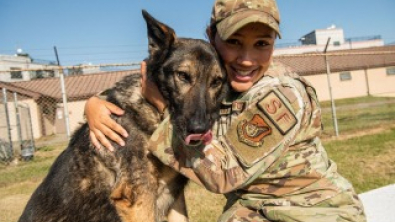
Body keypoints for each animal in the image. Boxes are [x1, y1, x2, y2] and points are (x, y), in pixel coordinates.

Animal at [17, 10, 229, 222]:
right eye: (183, 75)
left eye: (216, 82)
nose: (200, 129)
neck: (153, 110)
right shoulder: (139, 200)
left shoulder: (173, 196)